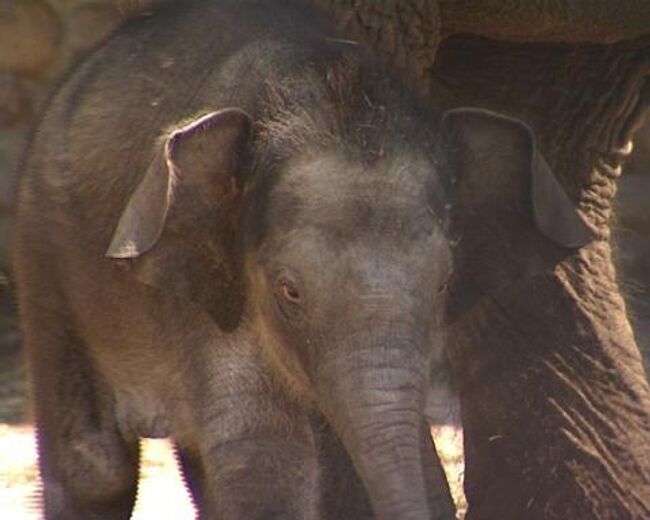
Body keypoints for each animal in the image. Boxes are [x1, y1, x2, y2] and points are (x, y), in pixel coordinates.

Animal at [11, 1, 592, 520]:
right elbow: (264, 459)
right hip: (43, 244)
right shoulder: (218, 293)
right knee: (96, 469)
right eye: (289, 291)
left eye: (444, 287)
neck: (315, 87)